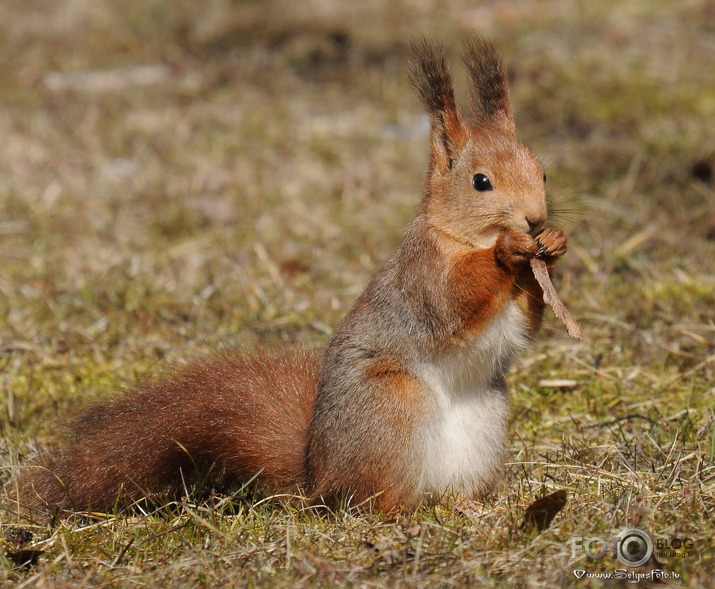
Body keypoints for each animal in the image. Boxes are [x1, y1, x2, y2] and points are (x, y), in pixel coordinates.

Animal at [8, 38, 572, 516]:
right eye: (481, 182)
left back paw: (468, 507)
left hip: (485, 423)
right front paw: (507, 250)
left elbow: (522, 325)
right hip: (391, 408)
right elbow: (456, 300)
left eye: (543, 171)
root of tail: (317, 476)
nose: (534, 219)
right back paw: (398, 513)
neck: (460, 236)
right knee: (368, 500)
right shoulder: (423, 274)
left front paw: (555, 245)